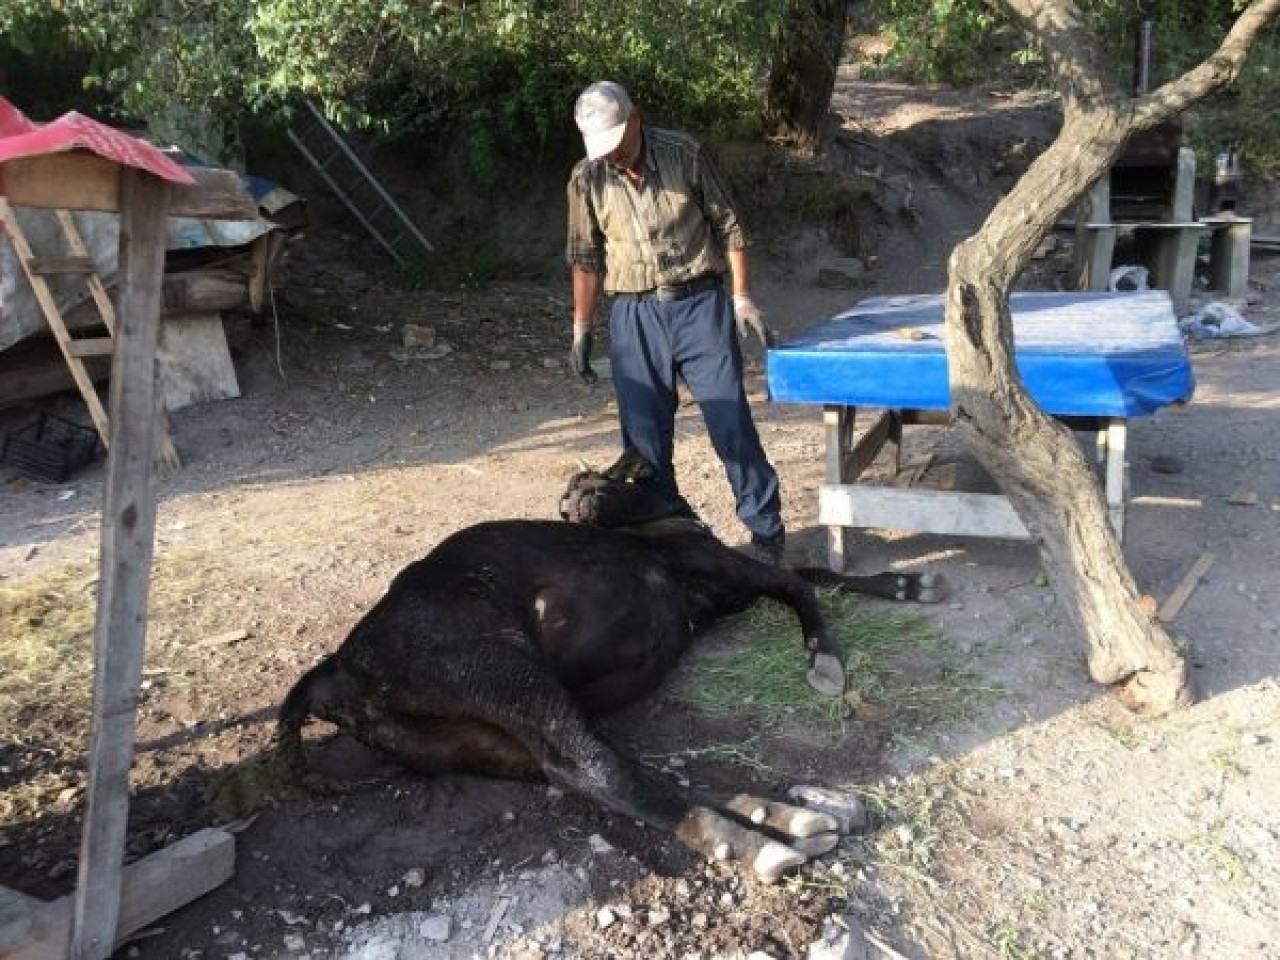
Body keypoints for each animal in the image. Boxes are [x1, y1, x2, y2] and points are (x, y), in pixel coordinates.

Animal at [277, 455, 942, 885]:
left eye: (592, 478)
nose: (570, 500)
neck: (655, 527)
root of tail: (334, 667)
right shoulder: (733, 571)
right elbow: (803, 584)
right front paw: (825, 656)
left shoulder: (732, 585)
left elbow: (813, 574)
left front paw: (902, 585)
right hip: (506, 673)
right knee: (605, 769)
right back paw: (752, 843)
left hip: (482, 740)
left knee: (592, 770)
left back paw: (779, 816)